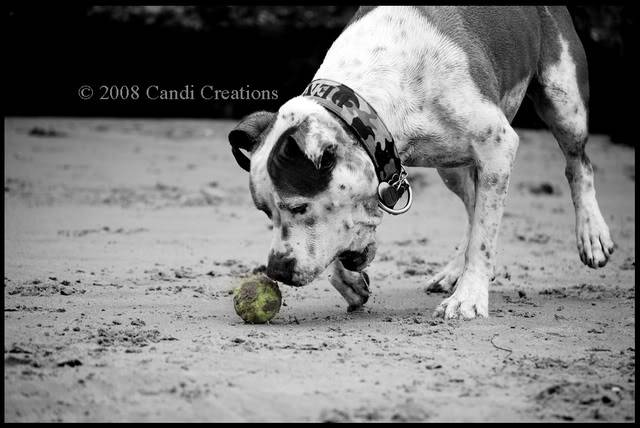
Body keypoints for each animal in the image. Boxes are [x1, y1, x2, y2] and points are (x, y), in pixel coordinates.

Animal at [228, 5, 612, 320]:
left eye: (299, 208)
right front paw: (348, 281)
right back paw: (454, 270)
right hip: (452, 168)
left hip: (564, 102)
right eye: (265, 212)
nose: (275, 270)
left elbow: (484, 238)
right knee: (473, 208)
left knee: (578, 165)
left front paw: (469, 298)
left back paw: (592, 233)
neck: (370, 106)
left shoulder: (499, 144)